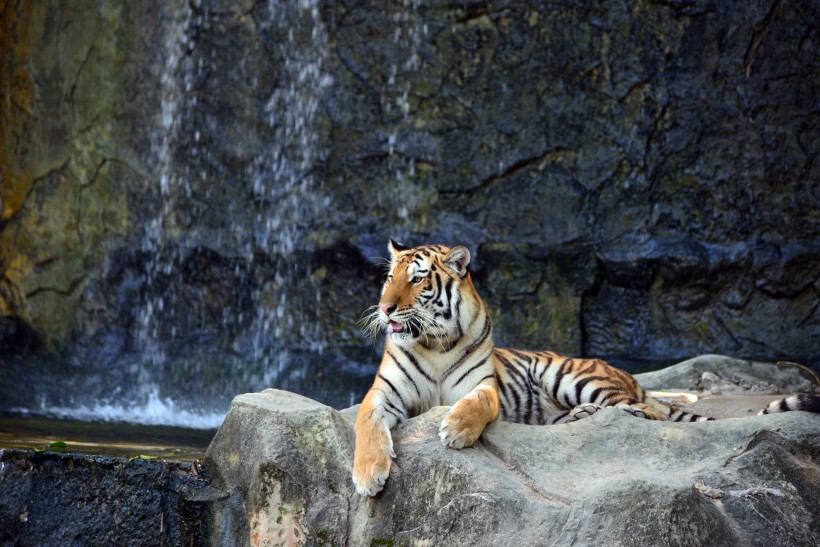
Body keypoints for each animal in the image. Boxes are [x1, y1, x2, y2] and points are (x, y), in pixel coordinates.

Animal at [352, 241, 820, 496]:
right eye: (389, 278)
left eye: (416, 279)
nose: (384, 308)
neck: (434, 342)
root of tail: (628, 376)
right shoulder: (383, 393)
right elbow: (366, 424)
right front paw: (369, 475)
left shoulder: (483, 387)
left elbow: (477, 406)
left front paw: (456, 429)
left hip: (571, 375)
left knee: (644, 411)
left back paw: (614, 411)